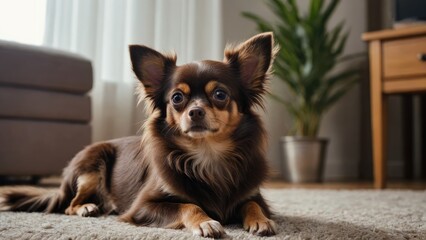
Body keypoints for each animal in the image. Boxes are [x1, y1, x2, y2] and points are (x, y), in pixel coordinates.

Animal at [0, 32, 278, 237]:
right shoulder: (143, 206)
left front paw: (260, 220)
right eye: (177, 98)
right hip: (92, 166)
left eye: (220, 95)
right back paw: (88, 207)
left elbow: (252, 204)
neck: (207, 153)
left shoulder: (253, 194)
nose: (195, 112)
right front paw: (205, 221)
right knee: (69, 205)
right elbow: (189, 205)